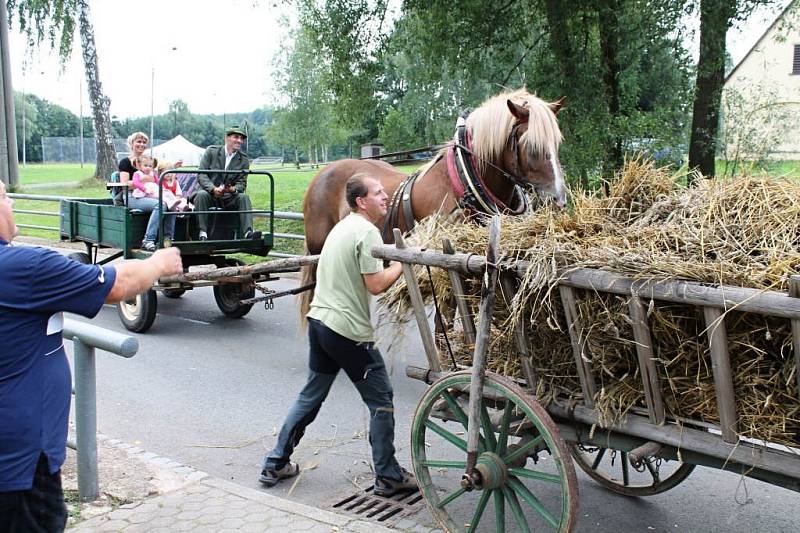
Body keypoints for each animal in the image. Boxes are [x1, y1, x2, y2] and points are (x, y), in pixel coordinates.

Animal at [296, 88, 564, 320]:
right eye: (532, 146)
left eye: (557, 143)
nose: (559, 199)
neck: (463, 181)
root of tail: (322, 172)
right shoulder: (443, 266)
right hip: (321, 253)